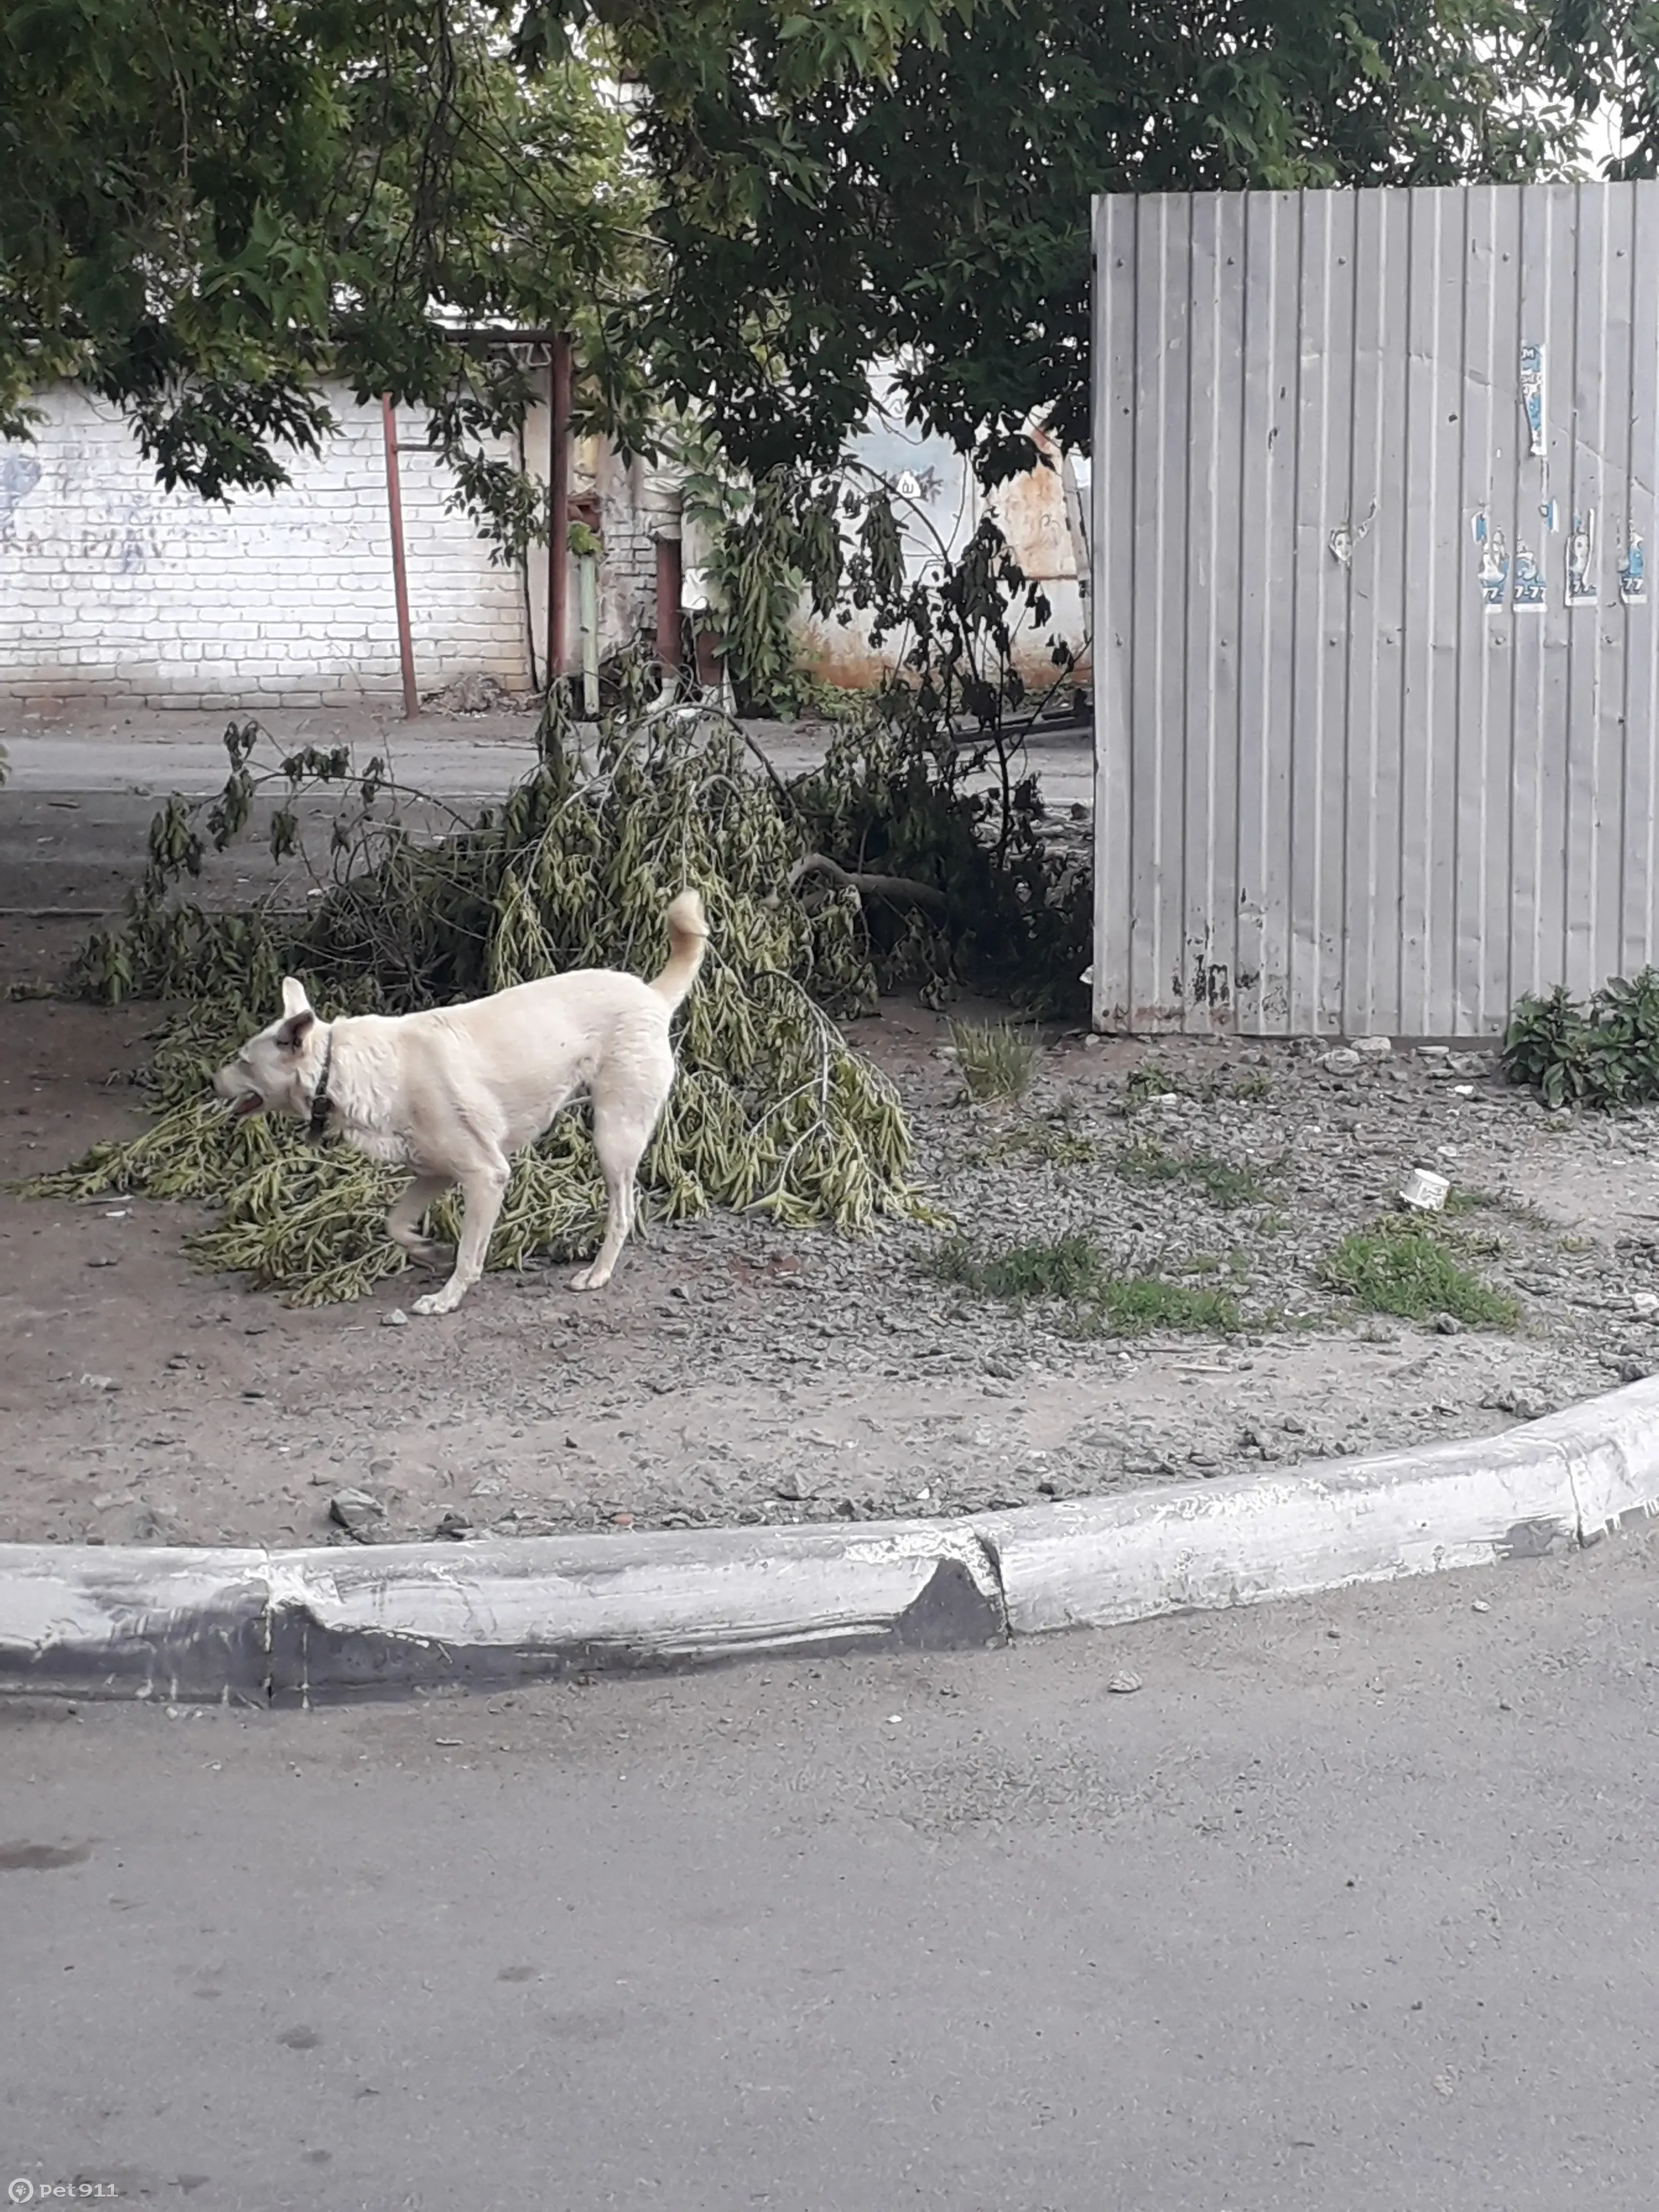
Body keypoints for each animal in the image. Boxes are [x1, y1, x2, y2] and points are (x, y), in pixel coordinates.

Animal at [214, 889, 707, 1309]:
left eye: (242, 1061)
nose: (213, 1080)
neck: (337, 1067)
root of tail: (652, 996)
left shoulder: (487, 1175)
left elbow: (470, 1253)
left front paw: (446, 1297)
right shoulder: (434, 1172)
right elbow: (395, 1223)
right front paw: (426, 1251)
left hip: (613, 1137)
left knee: (623, 1211)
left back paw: (598, 1274)